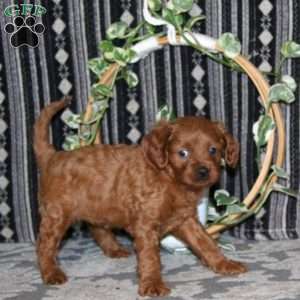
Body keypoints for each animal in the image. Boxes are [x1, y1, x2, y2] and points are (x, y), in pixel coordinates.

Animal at [34, 99, 247, 298]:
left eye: (213, 150)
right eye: (183, 153)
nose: (204, 171)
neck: (169, 178)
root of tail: (53, 156)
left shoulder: (186, 220)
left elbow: (206, 243)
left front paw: (224, 264)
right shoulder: (146, 224)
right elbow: (150, 257)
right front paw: (152, 284)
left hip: (96, 207)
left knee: (97, 228)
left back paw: (114, 249)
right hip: (57, 215)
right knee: (45, 245)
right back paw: (51, 273)